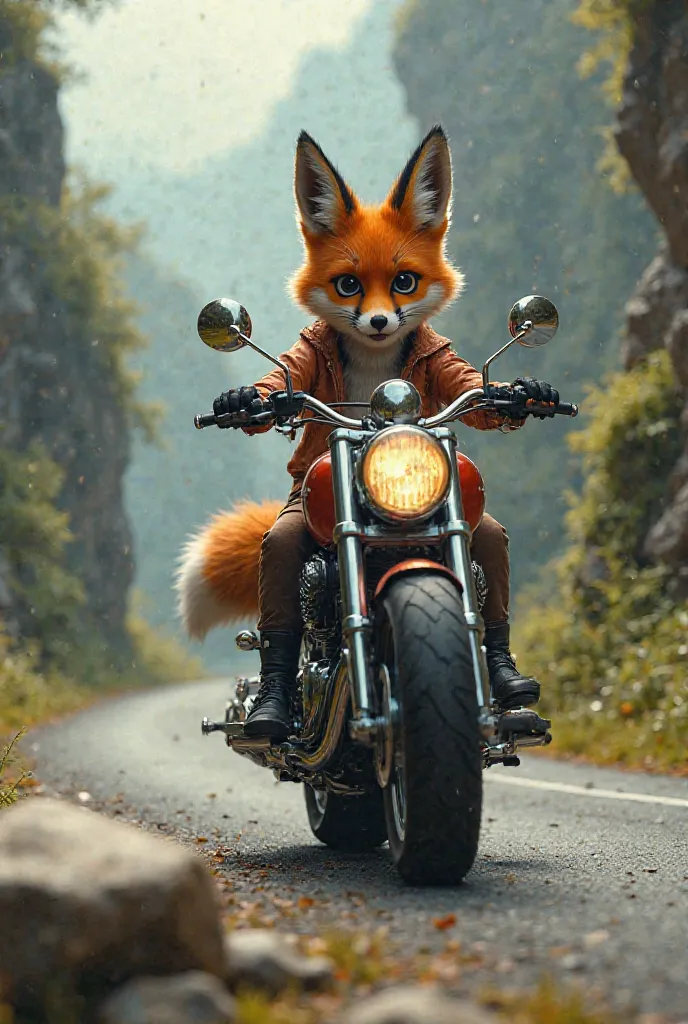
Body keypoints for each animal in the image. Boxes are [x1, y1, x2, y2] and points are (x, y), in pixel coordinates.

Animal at [176, 125, 556, 737]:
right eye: (348, 285)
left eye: (405, 281)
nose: (379, 322)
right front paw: (242, 401)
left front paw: (524, 392)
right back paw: (265, 711)